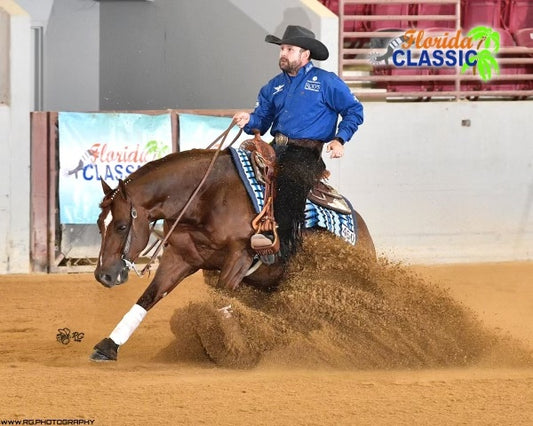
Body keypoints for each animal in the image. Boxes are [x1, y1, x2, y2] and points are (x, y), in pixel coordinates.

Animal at [90, 146, 374, 360]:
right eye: (99, 224)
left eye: (121, 226)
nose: (103, 275)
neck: (205, 196)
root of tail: (363, 232)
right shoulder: (180, 258)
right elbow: (148, 297)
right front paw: (108, 346)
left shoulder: (240, 256)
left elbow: (221, 299)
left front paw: (235, 348)